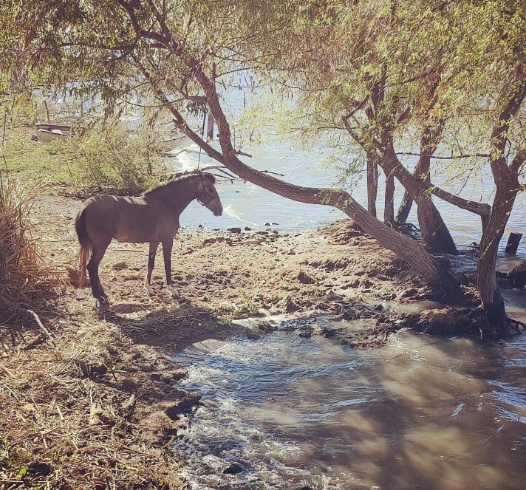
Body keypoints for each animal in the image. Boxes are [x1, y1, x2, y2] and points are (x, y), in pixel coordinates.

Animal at [75, 171, 223, 302]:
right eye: (210, 189)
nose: (220, 211)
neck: (165, 204)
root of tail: (86, 205)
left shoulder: (154, 241)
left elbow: (150, 264)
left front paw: (149, 288)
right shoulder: (167, 241)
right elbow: (167, 264)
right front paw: (172, 290)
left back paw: (101, 294)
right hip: (101, 245)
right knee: (92, 267)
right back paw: (99, 295)